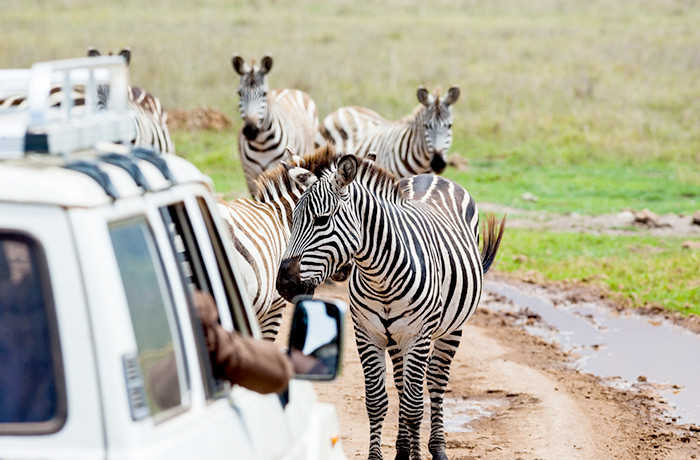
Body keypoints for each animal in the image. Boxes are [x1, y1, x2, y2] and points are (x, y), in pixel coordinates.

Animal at [234, 54, 322, 195]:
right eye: (240, 93)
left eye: (264, 94)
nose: (251, 130)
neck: (261, 145)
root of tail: (286, 89)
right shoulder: (250, 176)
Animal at [276, 151, 506, 460]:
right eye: (293, 220)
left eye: (322, 220)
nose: (284, 284)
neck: (380, 276)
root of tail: (432, 176)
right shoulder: (367, 334)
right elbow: (376, 401)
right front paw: (381, 456)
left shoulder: (417, 336)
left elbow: (413, 406)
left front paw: (418, 456)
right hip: (395, 337)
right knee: (400, 381)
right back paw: (401, 448)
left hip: (451, 328)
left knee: (435, 380)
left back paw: (438, 448)